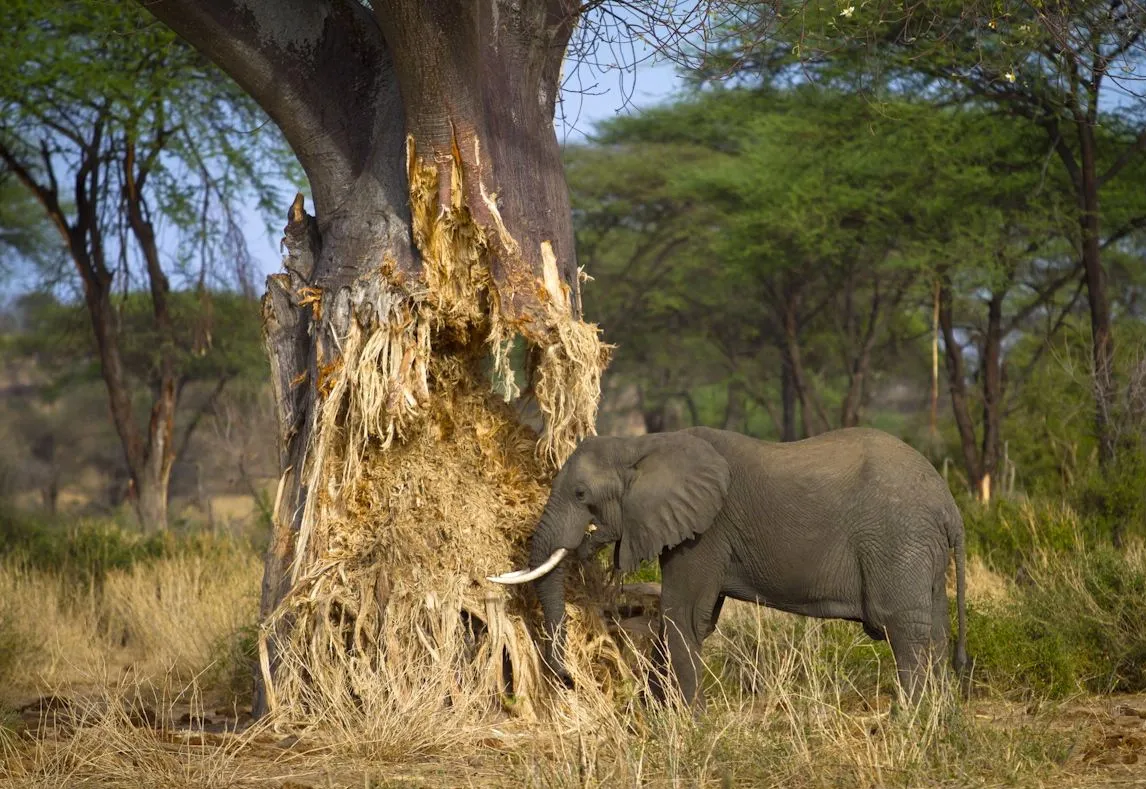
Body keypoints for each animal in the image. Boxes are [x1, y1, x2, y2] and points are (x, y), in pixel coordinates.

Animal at [485, 428, 967, 706]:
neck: (644, 444)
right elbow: (688, 619)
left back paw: (911, 722)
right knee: (935, 628)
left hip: (898, 541)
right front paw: (655, 713)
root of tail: (950, 507)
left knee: (903, 629)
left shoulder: (706, 530)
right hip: (921, 551)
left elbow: (683, 615)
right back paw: (943, 724)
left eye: (581, 494)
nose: (567, 680)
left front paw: (685, 724)